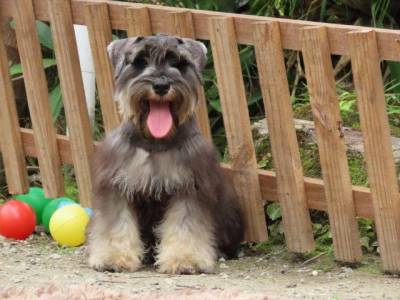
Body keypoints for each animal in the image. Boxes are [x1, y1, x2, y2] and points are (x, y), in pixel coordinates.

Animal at [87, 35, 244, 274]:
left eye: (178, 63)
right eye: (140, 61)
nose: (161, 85)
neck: (155, 143)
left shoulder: (190, 188)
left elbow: (185, 226)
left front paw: (185, 259)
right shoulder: (116, 187)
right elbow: (118, 224)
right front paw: (114, 257)